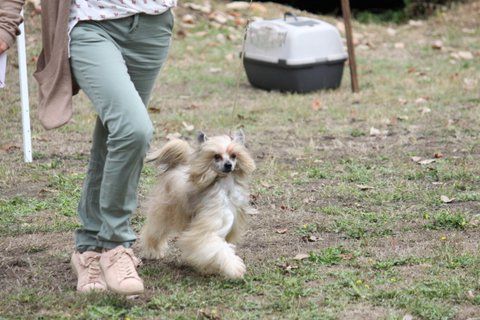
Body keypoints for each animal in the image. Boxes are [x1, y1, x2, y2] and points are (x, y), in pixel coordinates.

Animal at [141, 129, 256, 278]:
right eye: (217, 156)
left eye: (233, 156)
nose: (228, 165)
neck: (225, 188)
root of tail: (175, 167)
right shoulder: (206, 229)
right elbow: (217, 248)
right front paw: (234, 267)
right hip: (163, 211)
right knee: (154, 231)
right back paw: (153, 251)